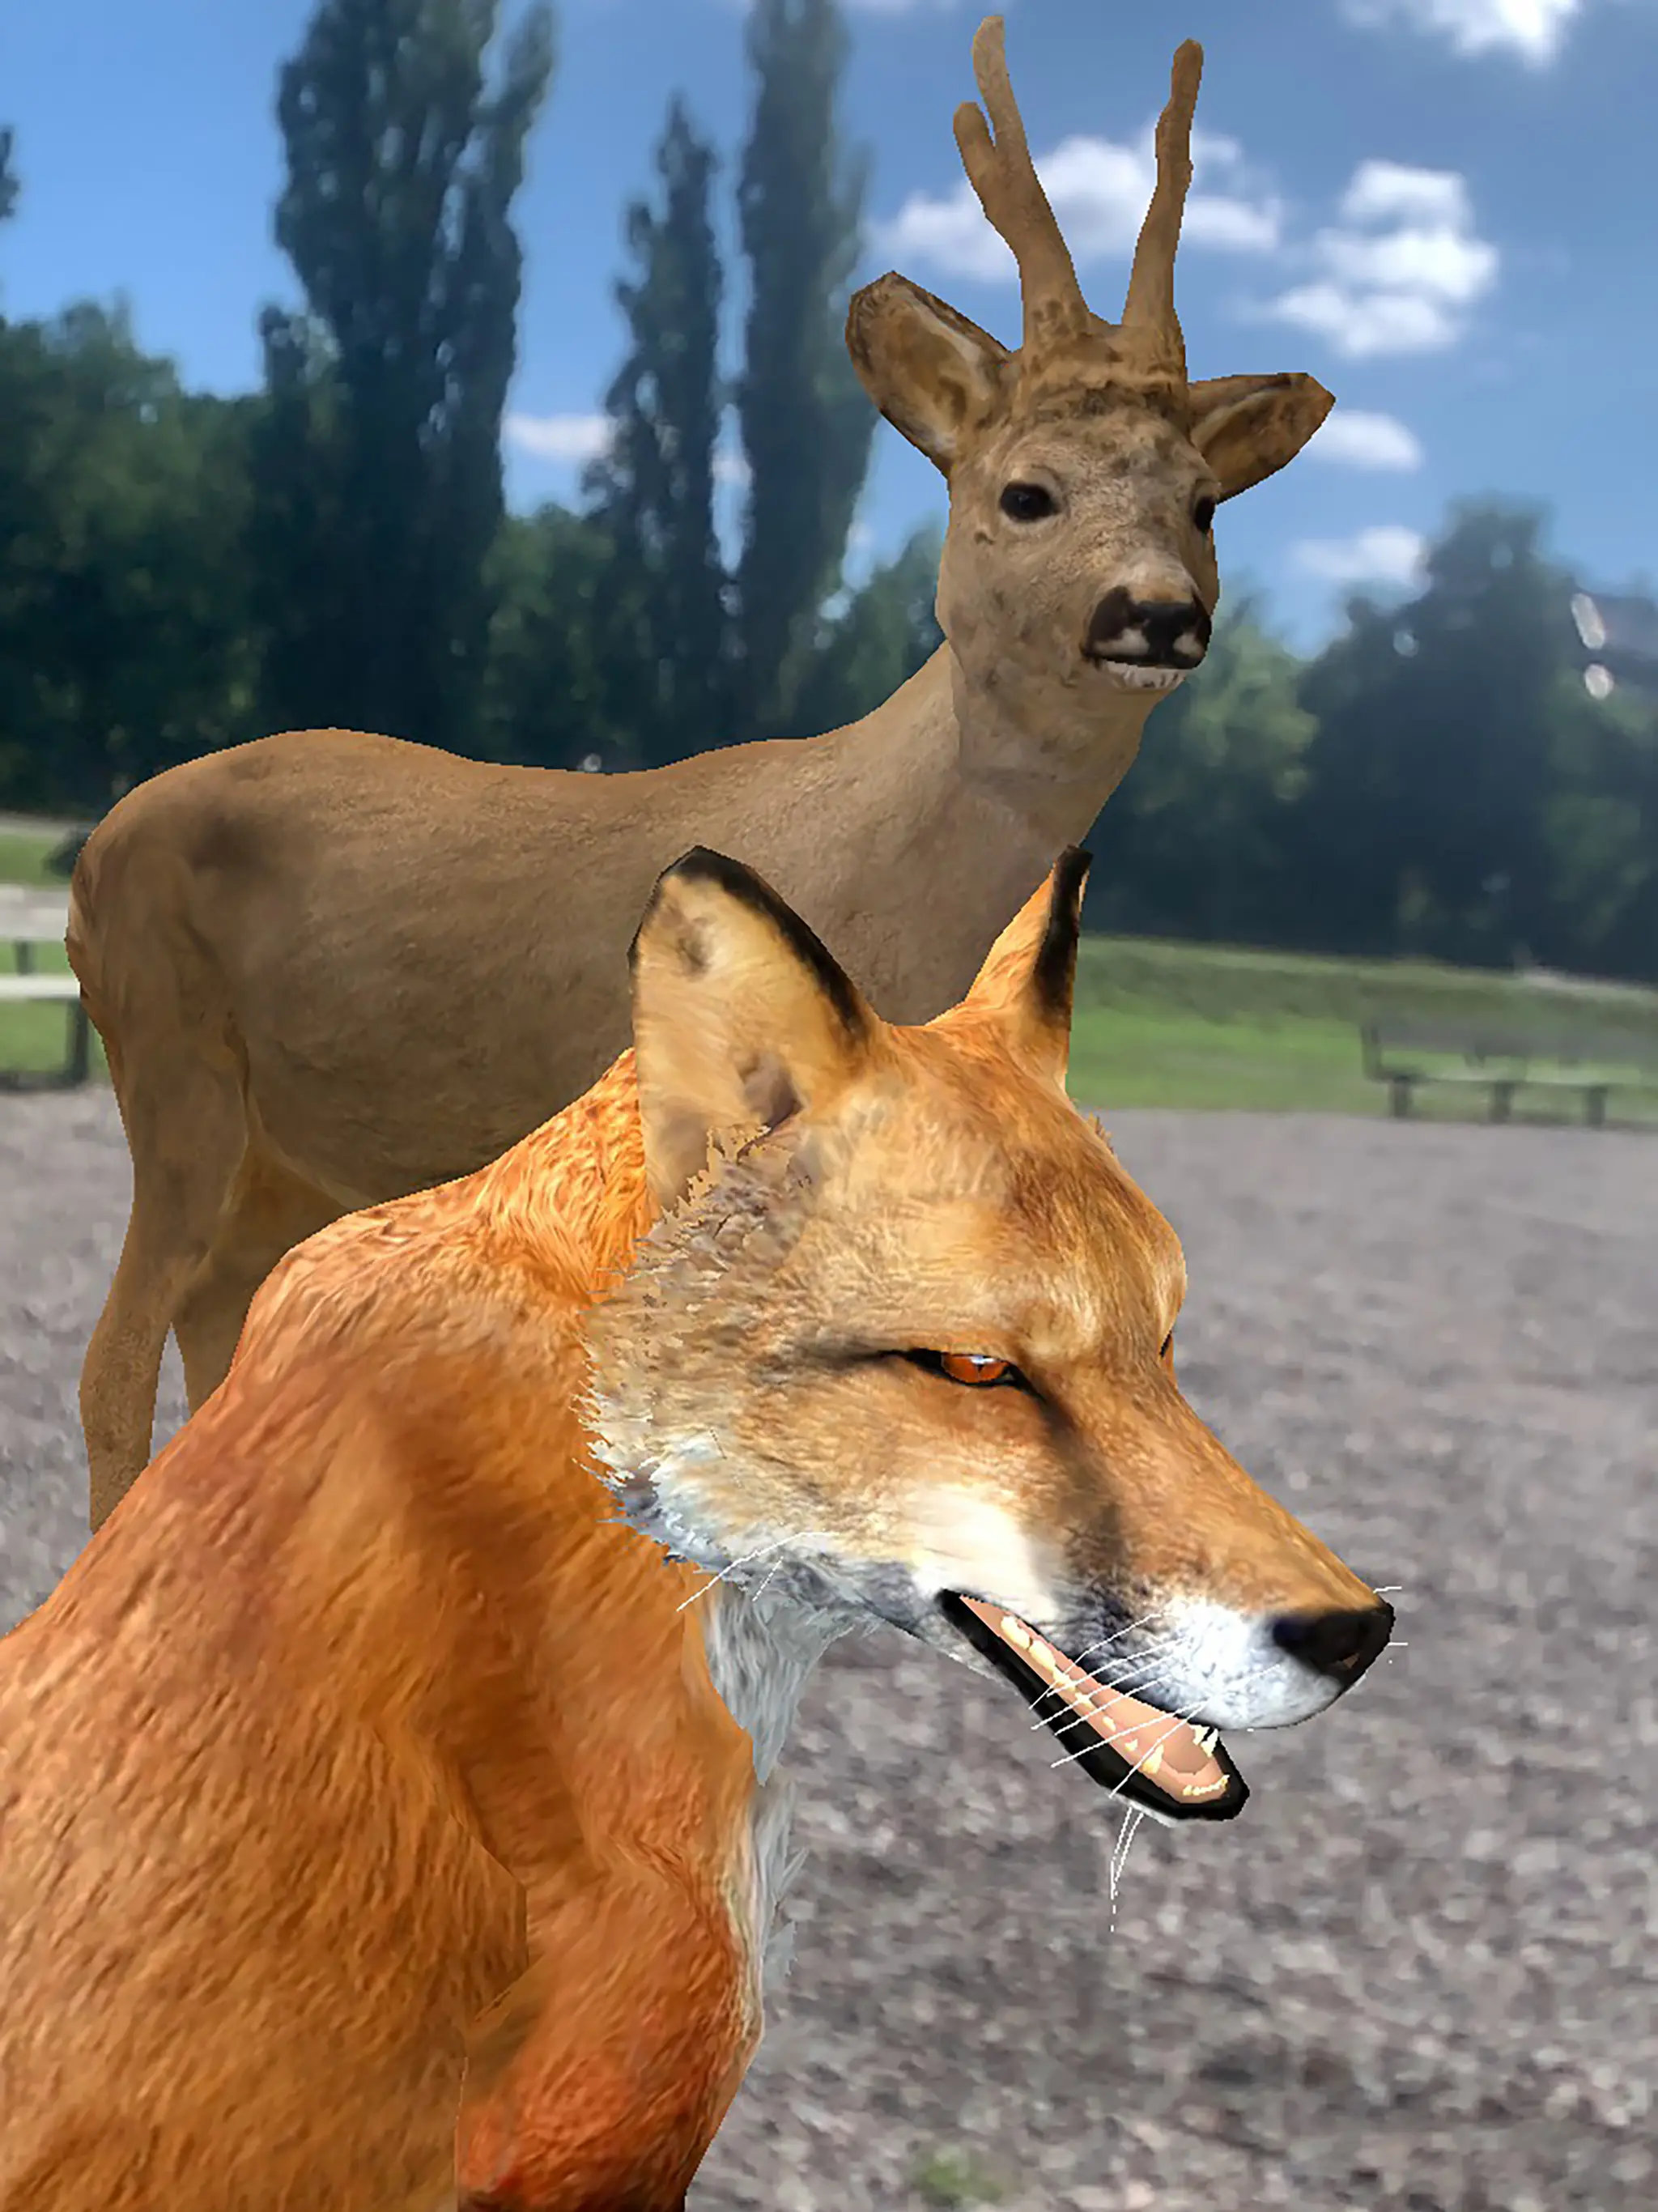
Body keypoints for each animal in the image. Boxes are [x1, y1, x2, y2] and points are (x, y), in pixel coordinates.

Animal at [66, 15, 1334, 1530]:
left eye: (1201, 506)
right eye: (1025, 493)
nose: (1155, 613)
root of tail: (88, 849)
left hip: (285, 1144)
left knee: (221, 1322)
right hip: (172, 1064)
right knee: (117, 1351)